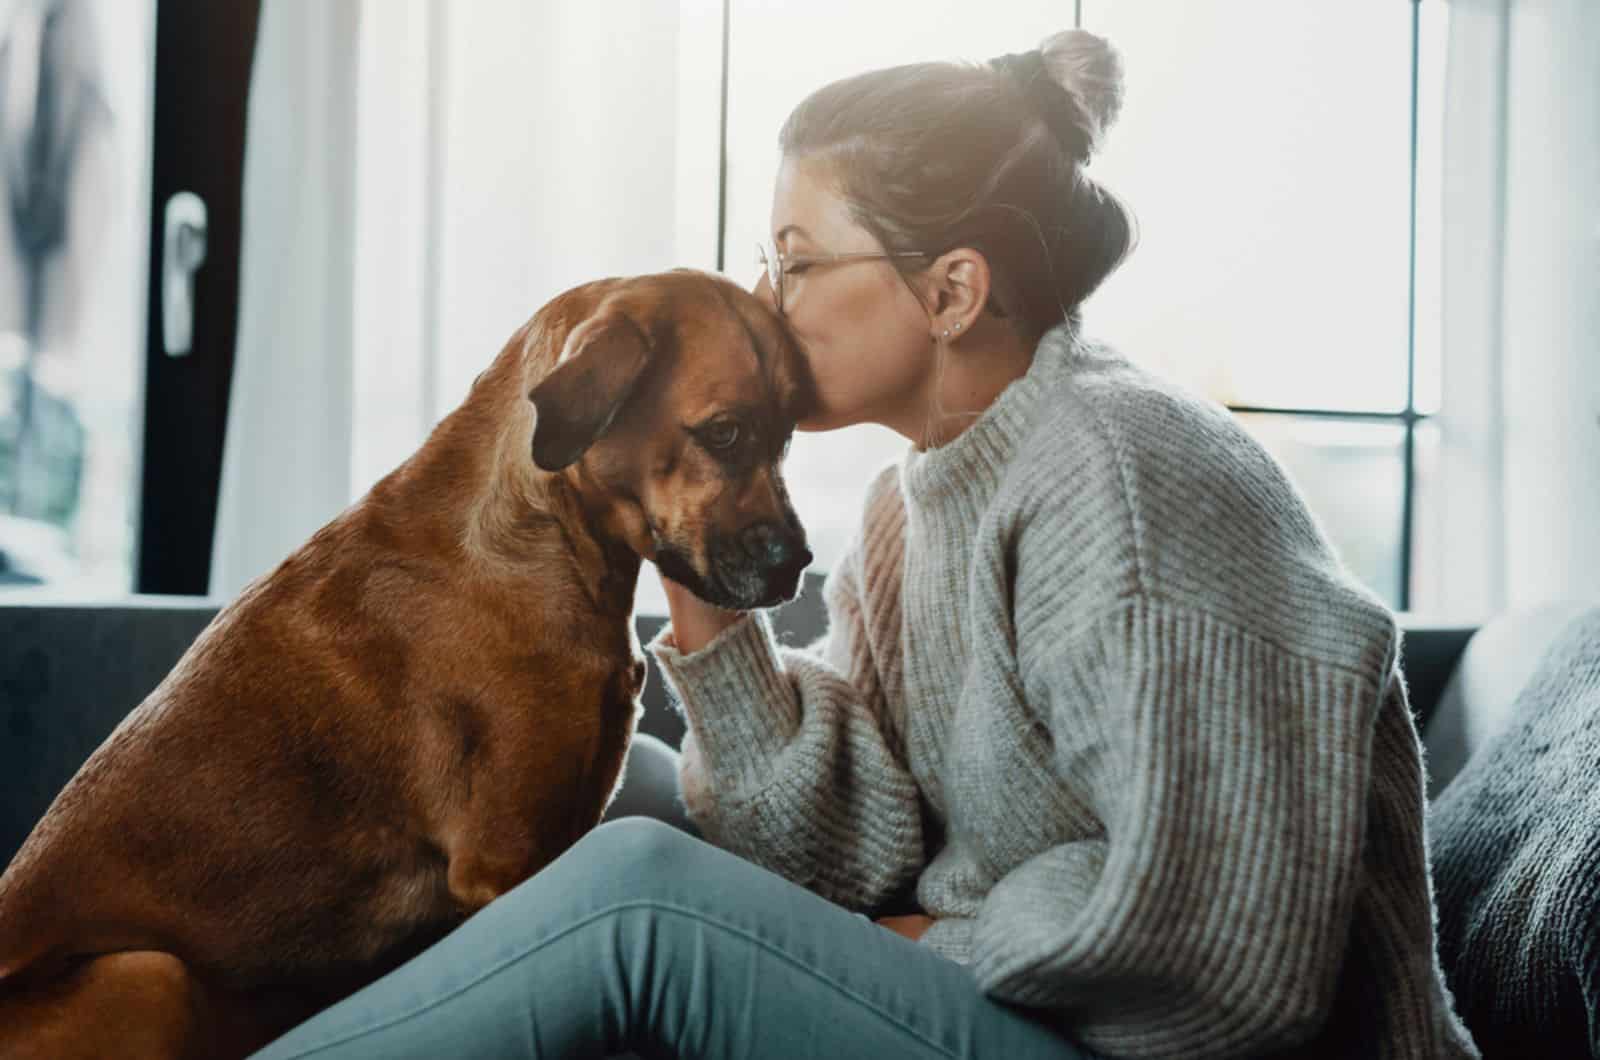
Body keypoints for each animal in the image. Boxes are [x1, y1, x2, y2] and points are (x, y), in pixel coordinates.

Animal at [0, 270, 812, 1056]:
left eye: (787, 436)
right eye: (723, 433)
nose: (798, 564)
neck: (540, 538)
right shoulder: (508, 862)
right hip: (152, 975)